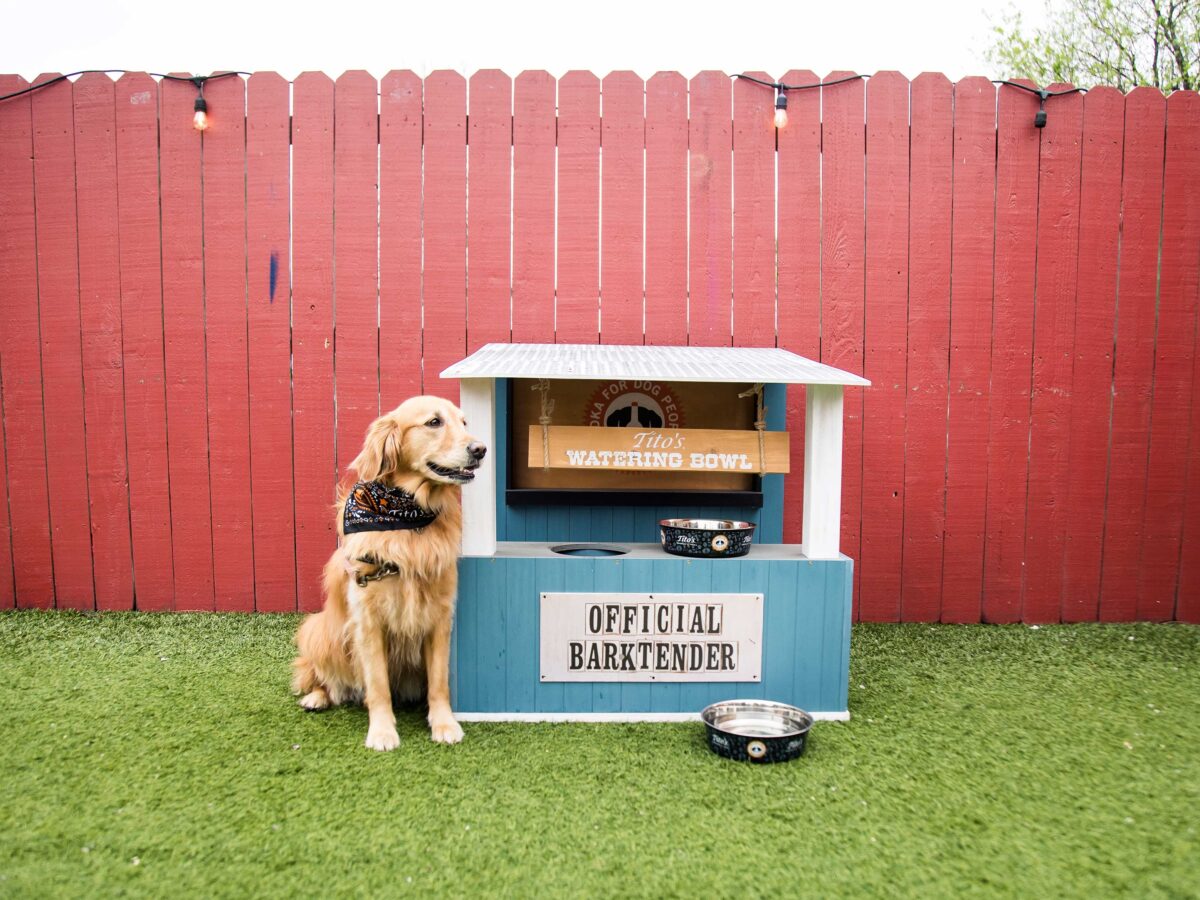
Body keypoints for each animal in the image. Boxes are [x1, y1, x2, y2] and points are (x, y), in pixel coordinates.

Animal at [292, 398, 484, 748]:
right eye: (434, 422)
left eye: (464, 422)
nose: (480, 449)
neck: (407, 518)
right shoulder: (368, 621)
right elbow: (378, 684)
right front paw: (382, 731)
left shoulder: (440, 617)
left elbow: (439, 681)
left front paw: (444, 723)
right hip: (319, 630)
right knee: (320, 675)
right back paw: (317, 696)